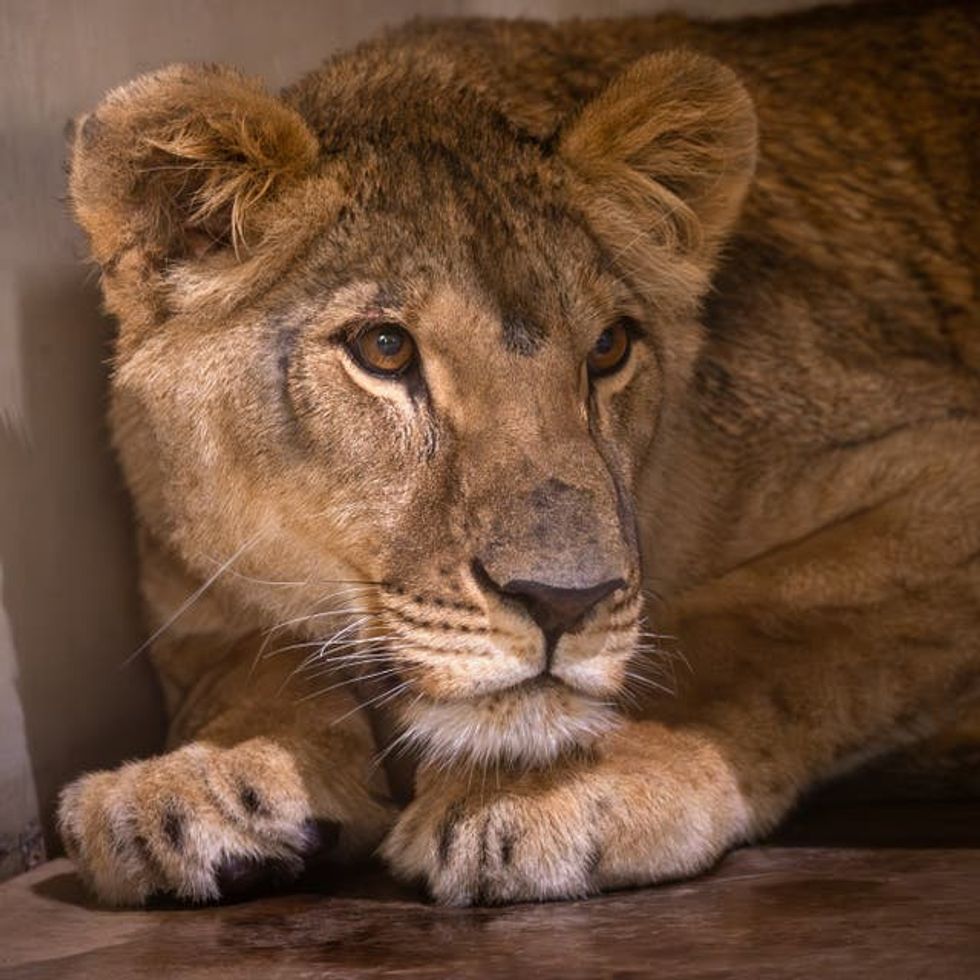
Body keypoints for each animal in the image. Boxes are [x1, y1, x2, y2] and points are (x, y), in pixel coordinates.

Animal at [57, 0, 979, 907]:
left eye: (609, 347)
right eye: (385, 348)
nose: (562, 603)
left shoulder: (943, 463)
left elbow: (738, 631)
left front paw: (549, 788)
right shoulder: (192, 585)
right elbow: (248, 666)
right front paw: (196, 781)